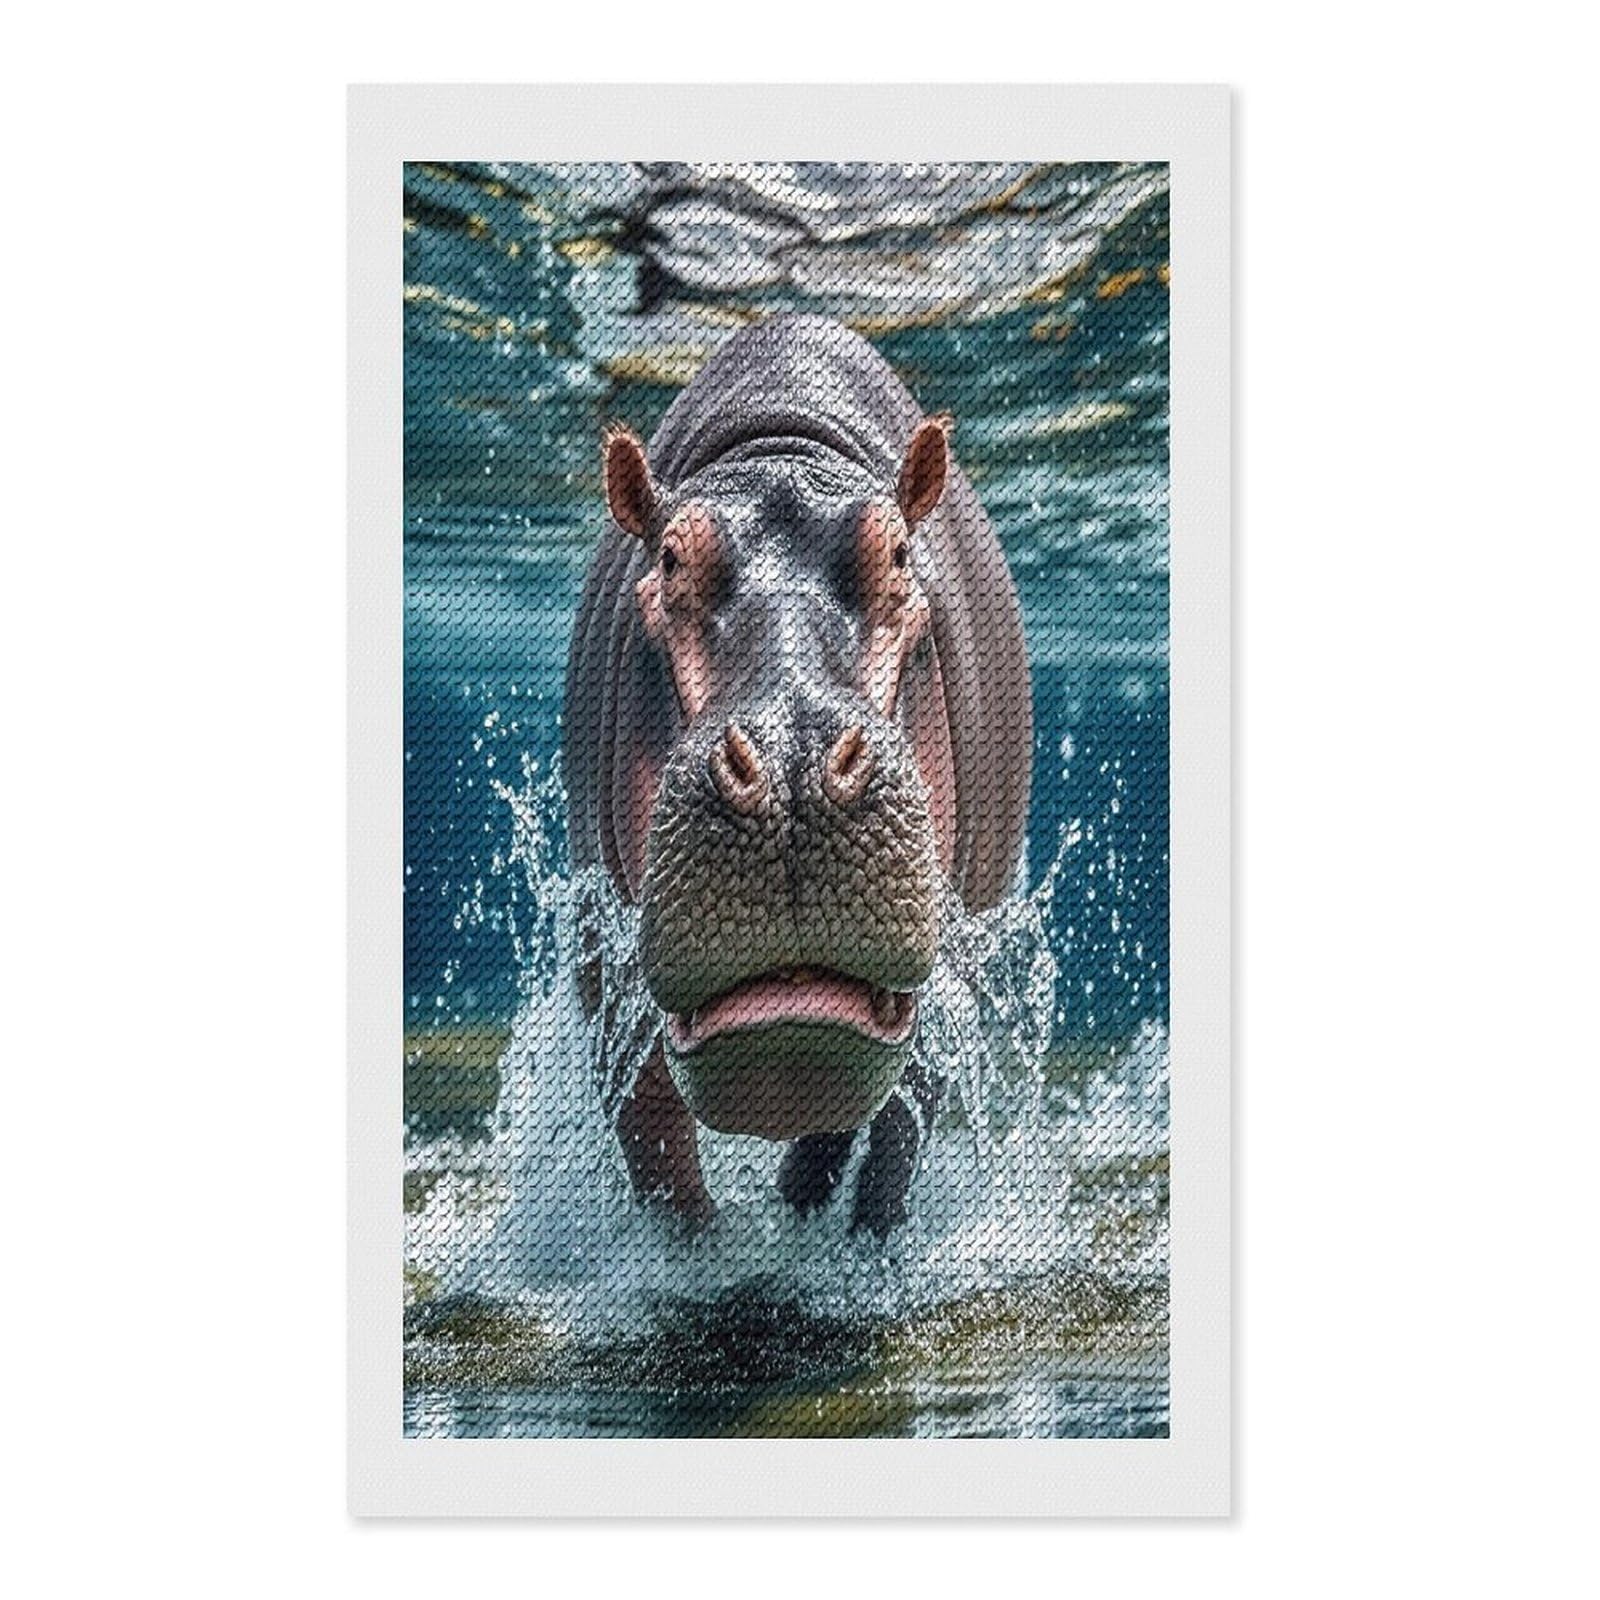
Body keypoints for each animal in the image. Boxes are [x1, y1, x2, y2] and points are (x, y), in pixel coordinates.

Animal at [563, 313, 1031, 1235]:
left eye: (899, 555)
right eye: (668, 561)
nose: (792, 766)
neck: (779, 451)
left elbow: (894, 1131)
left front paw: (860, 1246)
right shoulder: (604, 958)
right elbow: (656, 1140)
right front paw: (691, 1255)